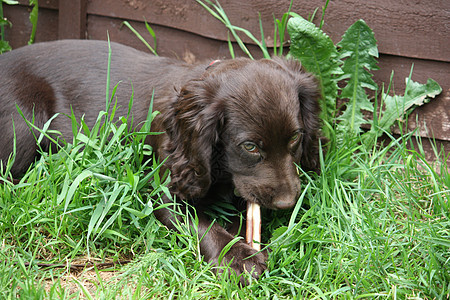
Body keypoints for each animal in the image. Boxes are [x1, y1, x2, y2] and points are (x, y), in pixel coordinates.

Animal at [0, 39, 320, 284]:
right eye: (250, 147)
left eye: (295, 138)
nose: (287, 203)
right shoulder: (166, 190)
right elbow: (201, 224)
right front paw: (238, 257)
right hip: (24, 123)